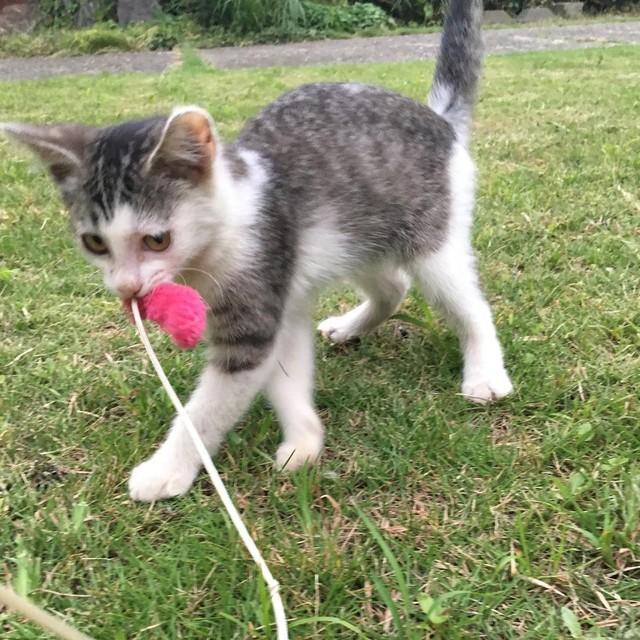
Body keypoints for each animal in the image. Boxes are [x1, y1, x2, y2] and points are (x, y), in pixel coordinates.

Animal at [0, 0, 510, 504]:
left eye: (156, 240)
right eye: (95, 242)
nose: (127, 287)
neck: (221, 234)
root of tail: (438, 118)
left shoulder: (257, 300)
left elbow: (211, 404)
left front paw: (168, 469)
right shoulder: (281, 298)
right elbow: (285, 370)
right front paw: (304, 440)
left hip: (431, 239)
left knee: (468, 304)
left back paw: (484, 373)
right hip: (357, 236)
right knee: (393, 284)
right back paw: (350, 326)